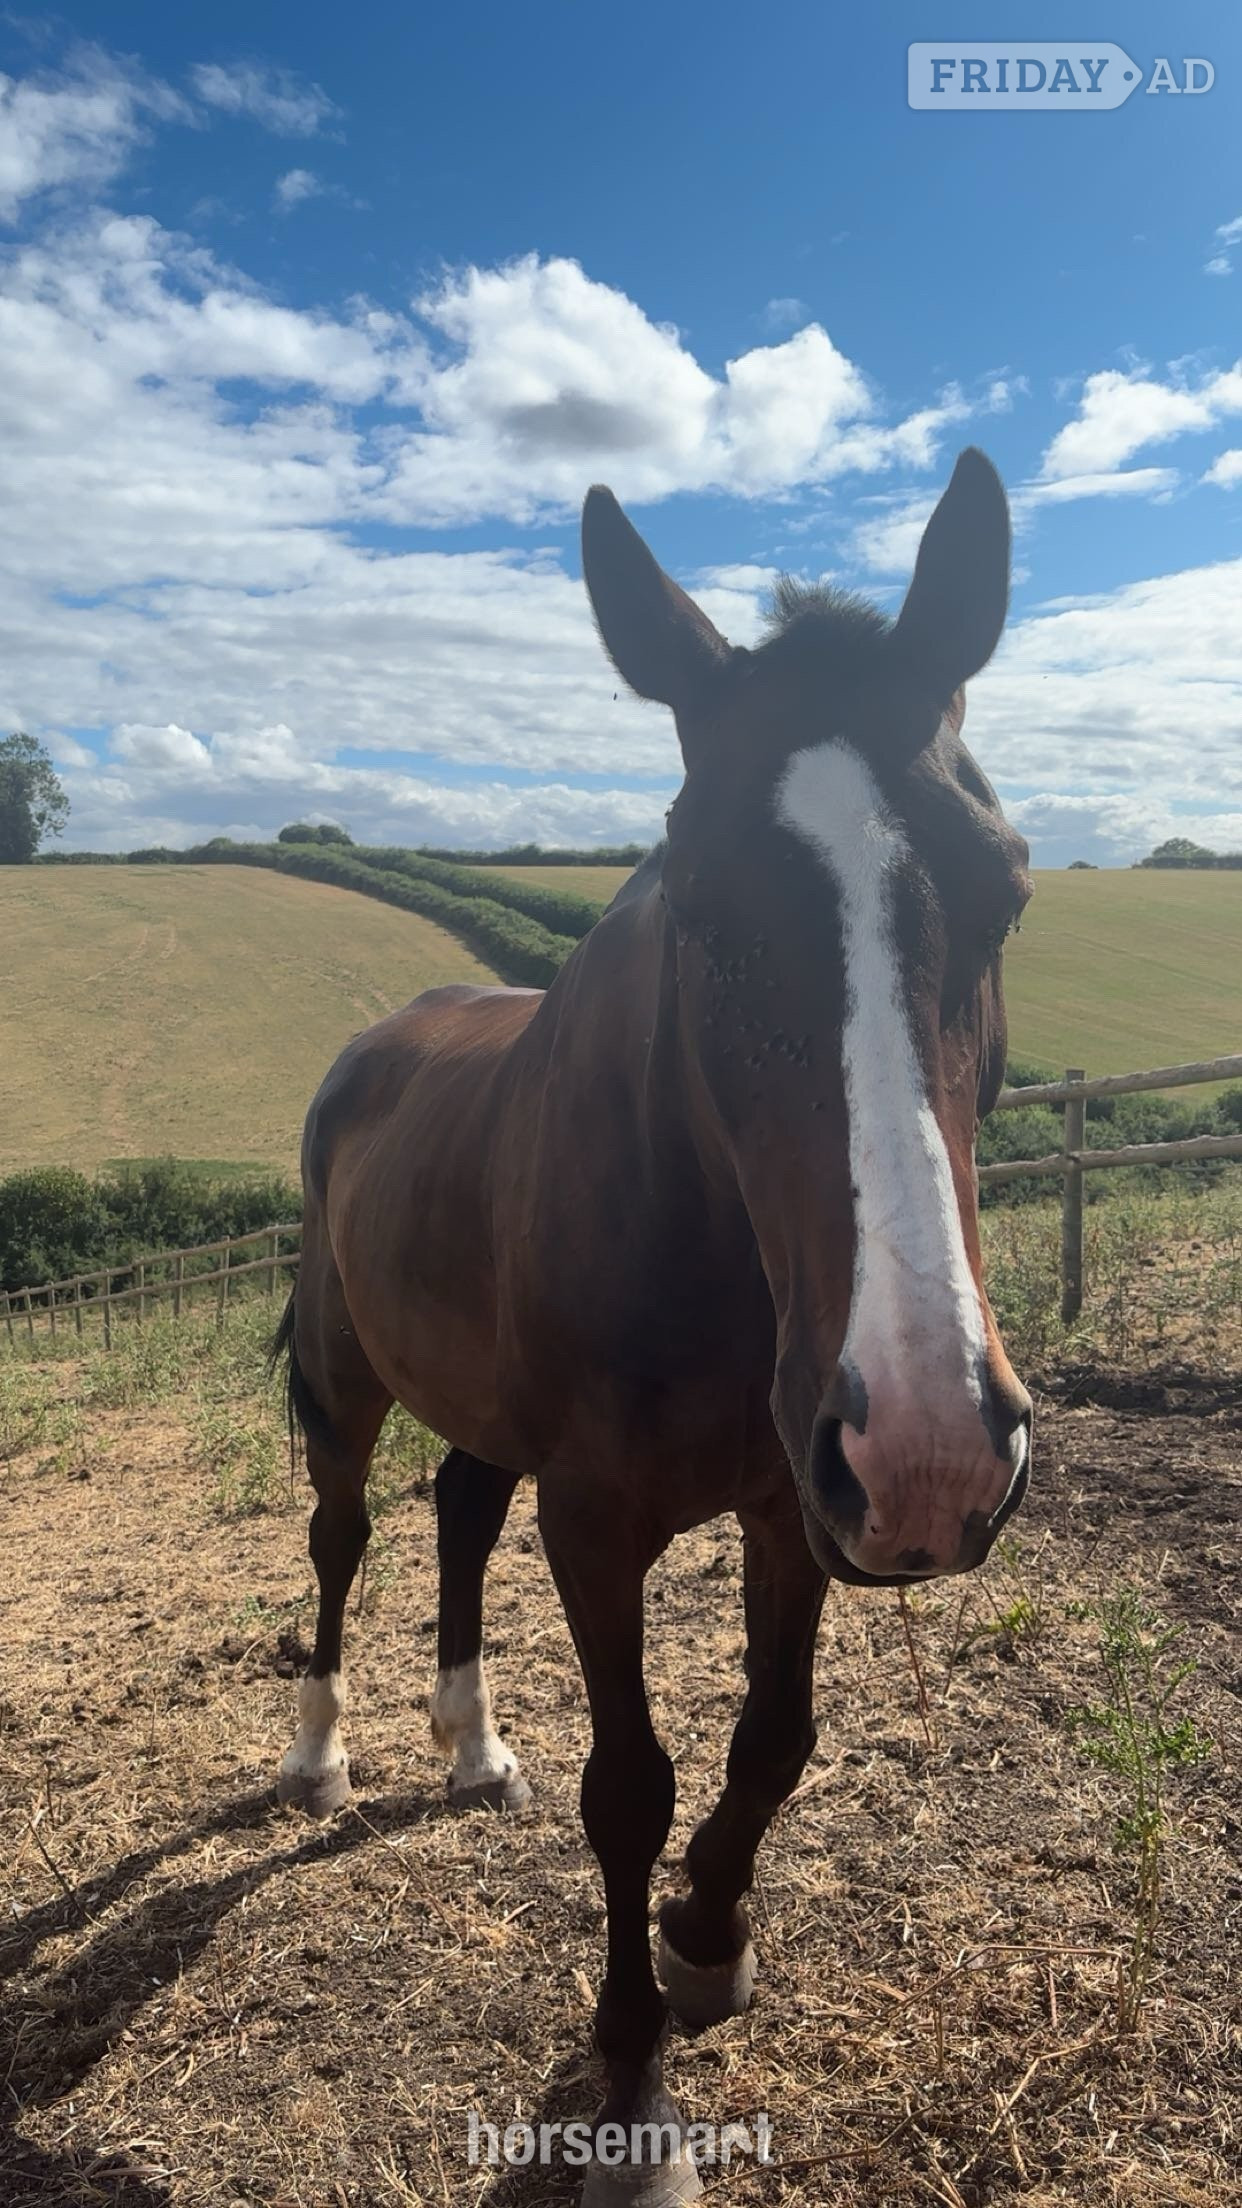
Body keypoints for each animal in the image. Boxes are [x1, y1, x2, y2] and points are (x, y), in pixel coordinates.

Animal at [271, 446, 1033, 2204]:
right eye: (699, 905)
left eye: (1005, 889)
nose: (935, 1448)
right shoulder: (600, 1519)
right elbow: (630, 1784)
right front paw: (627, 2080)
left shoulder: (790, 1500)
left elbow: (772, 1739)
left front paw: (704, 1932)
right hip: (346, 1383)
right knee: (344, 1536)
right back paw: (322, 1750)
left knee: (456, 1509)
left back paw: (470, 1745)